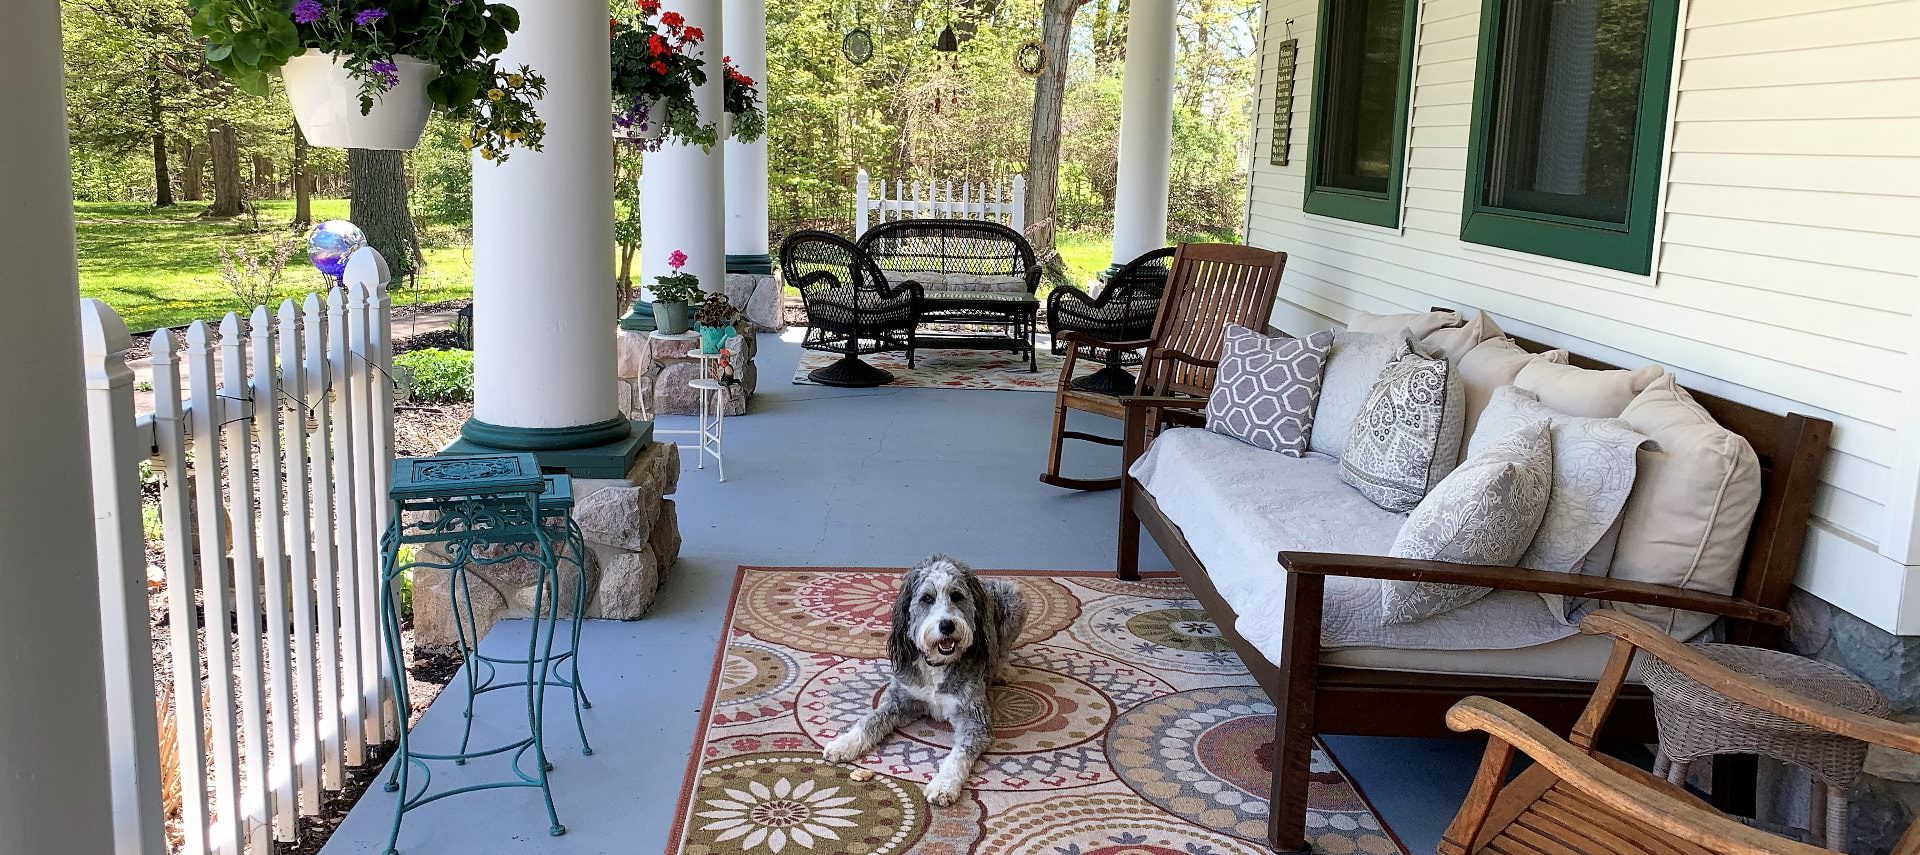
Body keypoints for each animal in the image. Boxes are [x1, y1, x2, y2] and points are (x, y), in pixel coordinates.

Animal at [825, 557, 1036, 803]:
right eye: (927, 598)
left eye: (956, 595)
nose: (947, 625)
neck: (937, 664)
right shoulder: (900, 700)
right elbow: (870, 720)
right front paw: (843, 744)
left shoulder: (974, 719)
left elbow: (960, 754)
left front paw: (944, 785)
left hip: (1015, 597)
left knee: (1003, 650)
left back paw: (1002, 670)